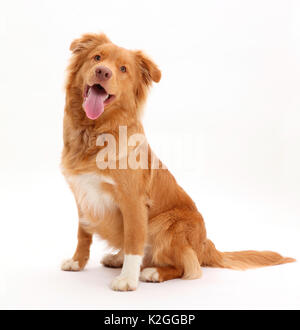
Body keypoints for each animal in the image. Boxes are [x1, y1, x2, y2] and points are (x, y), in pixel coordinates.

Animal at [59, 32, 294, 292]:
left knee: (188, 267)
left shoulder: (133, 201)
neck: (94, 132)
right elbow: (83, 234)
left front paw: (128, 279)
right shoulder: (82, 196)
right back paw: (117, 258)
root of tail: (205, 244)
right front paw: (77, 262)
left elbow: (133, 241)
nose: (103, 72)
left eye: (123, 69)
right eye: (97, 58)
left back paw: (153, 272)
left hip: (168, 223)